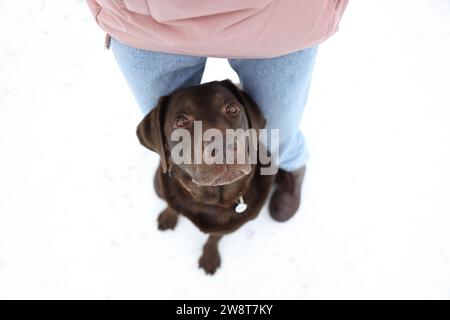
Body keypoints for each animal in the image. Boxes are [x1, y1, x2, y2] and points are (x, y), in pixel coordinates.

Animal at [136, 79, 274, 274]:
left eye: (232, 109)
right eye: (181, 121)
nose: (224, 147)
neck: (211, 199)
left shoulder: (228, 227)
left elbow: (214, 238)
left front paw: (209, 257)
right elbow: (172, 205)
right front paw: (168, 216)